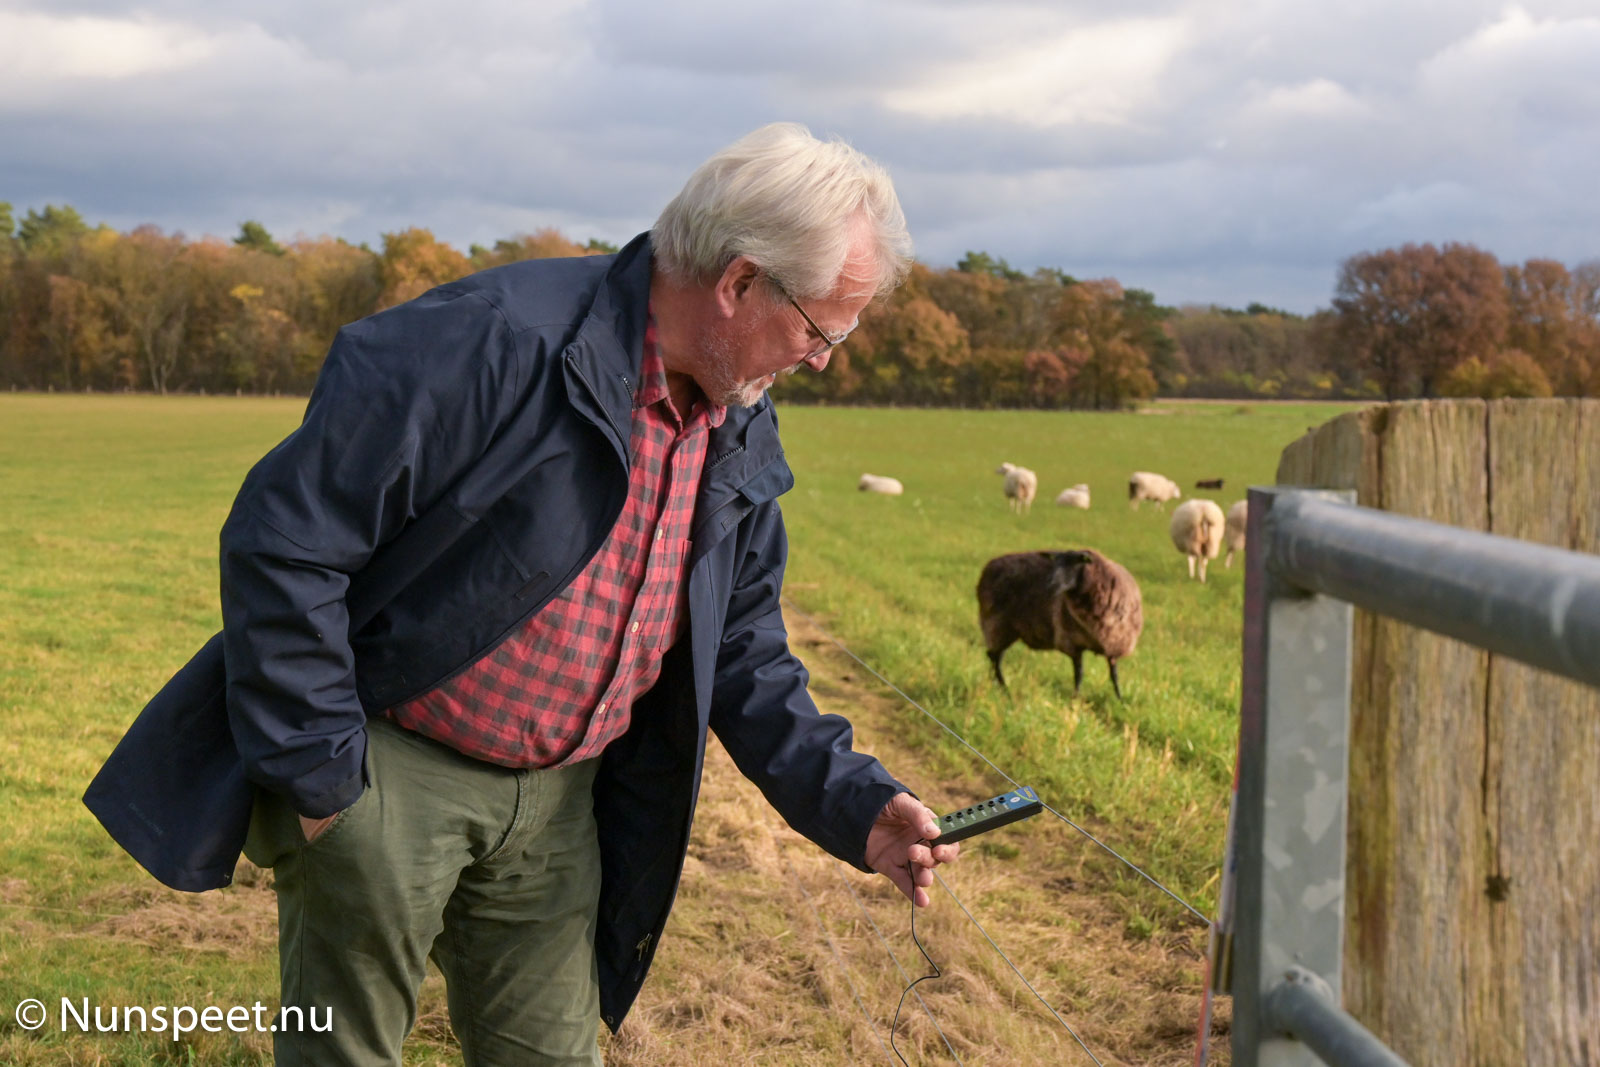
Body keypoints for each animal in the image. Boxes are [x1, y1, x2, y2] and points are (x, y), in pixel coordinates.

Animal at [977, 548, 1143, 701]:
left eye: (1075, 564)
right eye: (1055, 564)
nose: (1049, 584)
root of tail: (989, 566)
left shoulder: (1114, 644)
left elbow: (1114, 675)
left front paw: (1120, 700)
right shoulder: (1072, 642)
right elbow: (1079, 673)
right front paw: (1076, 698)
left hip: (1007, 630)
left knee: (996, 657)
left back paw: (997, 685)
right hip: (996, 624)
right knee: (994, 657)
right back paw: (1004, 688)